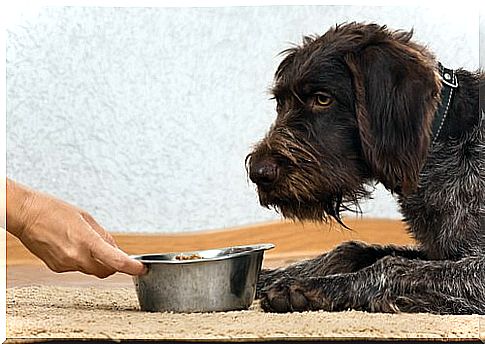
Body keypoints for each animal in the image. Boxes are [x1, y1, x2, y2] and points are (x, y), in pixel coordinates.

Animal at [248, 21, 482, 314]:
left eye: (322, 99)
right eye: (281, 103)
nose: (257, 172)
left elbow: (390, 266)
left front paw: (312, 287)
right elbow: (350, 251)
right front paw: (265, 276)